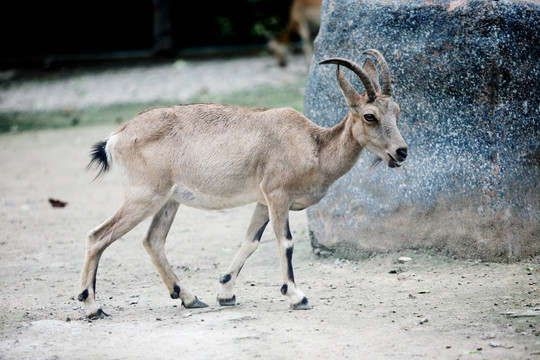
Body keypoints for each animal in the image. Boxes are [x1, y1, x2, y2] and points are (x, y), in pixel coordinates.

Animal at [79, 50, 410, 318]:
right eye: (369, 116)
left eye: (397, 111)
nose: (401, 152)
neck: (313, 146)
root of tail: (117, 136)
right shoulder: (278, 195)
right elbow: (285, 241)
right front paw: (297, 297)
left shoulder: (263, 201)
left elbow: (250, 241)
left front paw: (226, 293)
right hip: (143, 196)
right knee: (98, 236)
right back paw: (93, 306)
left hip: (168, 201)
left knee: (153, 240)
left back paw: (189, 298)